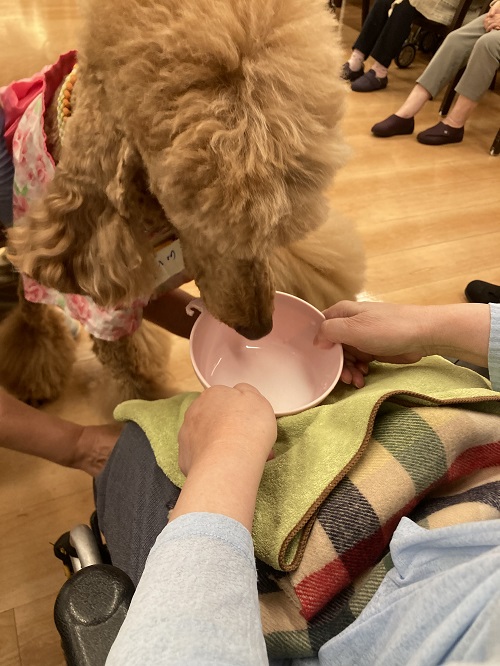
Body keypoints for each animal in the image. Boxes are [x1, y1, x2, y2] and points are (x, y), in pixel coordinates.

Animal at [1, 0, 364, 402]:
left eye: (275, 222)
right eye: (195, 214)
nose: (259, 330)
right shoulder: (98, 306)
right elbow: (133, 378)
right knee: (31, 311)